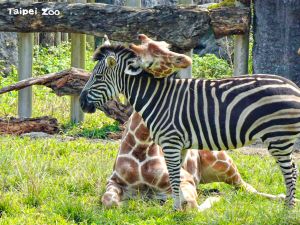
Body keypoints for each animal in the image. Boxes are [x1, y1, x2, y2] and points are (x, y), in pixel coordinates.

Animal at [102, 111, 284, 210]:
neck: (141, 147)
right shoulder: (114, 181)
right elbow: (109, 201)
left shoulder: (184, 179)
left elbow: (190, 206)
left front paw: (216, 199)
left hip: (223, 163)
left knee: (247, 188)